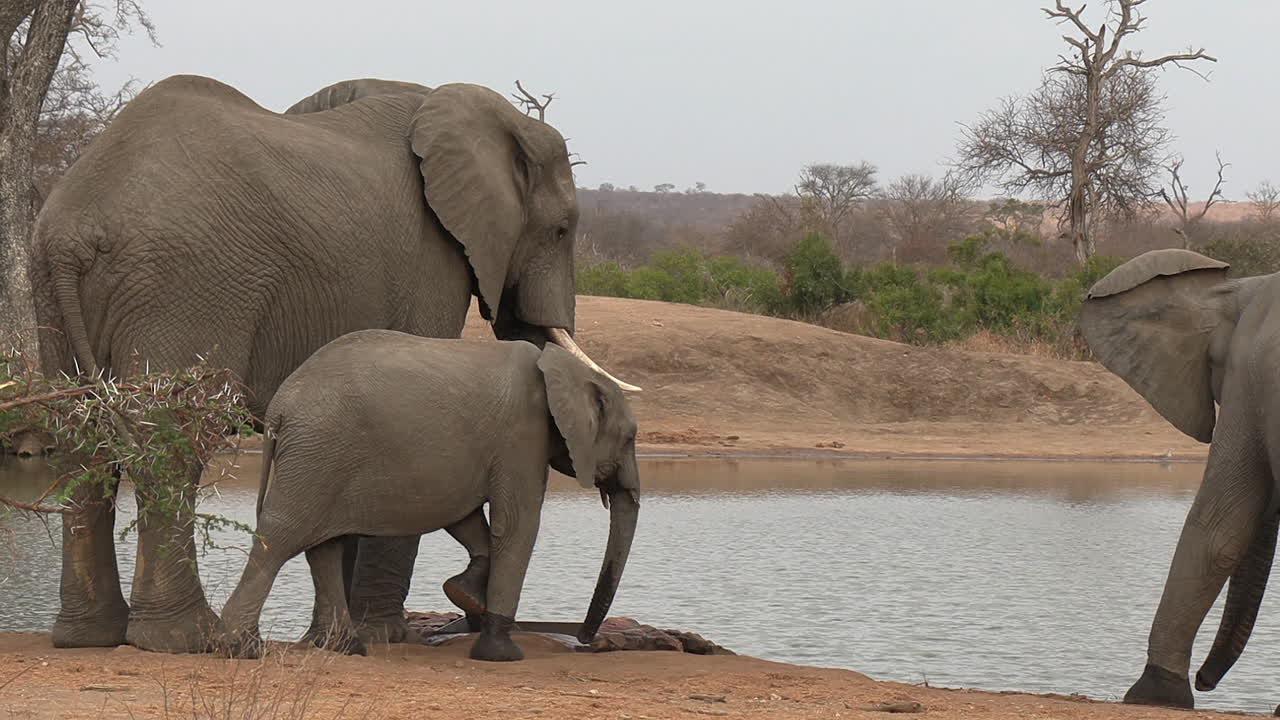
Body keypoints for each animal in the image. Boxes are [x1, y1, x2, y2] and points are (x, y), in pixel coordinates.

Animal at [218, 331, 640, 662]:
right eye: (630, 438)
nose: (585, 639)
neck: (564, 369)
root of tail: (279, 407)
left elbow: (465, 515)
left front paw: (466, 595)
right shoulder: (523, 436)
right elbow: (516, 524)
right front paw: (502, 654)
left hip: (320, 456)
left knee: (323, 546)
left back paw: (346, 648)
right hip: (317, 449)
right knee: (282, 537)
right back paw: (241, 648)